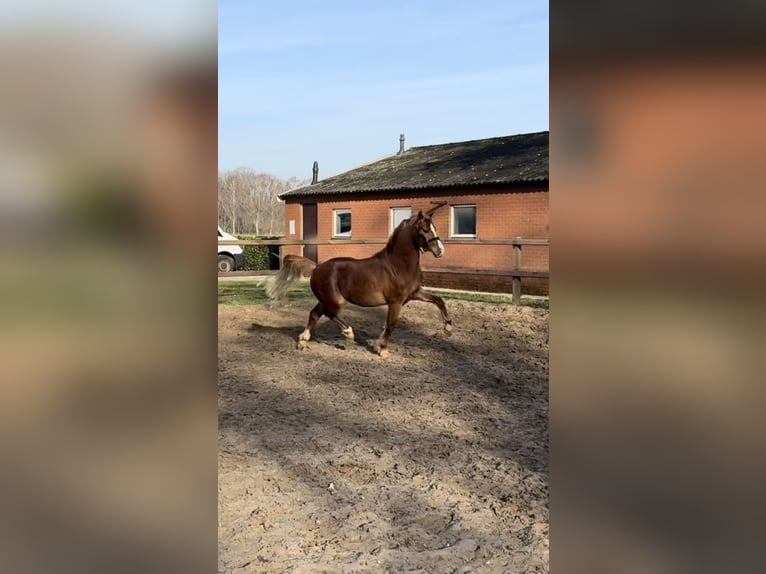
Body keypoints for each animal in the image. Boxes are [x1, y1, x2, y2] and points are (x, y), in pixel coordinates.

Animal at [266, 210, 452, 357]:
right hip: (335, 301)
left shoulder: (414, 294)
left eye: (434, 228)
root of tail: (316, 267)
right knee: (329, 314)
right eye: (425, 230)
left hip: (325, 299)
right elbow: (390, 325)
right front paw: (382, 349)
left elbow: (439, 300)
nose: (440, 251)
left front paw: (448, 328)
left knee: (314, 314)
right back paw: (348, 334)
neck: (397, 266)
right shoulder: (395, 302)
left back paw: (303, 341)